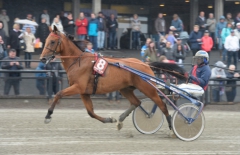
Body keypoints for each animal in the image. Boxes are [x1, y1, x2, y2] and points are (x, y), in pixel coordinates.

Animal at [39, 25, 187, 131]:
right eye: (46, 40)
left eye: (52, 41)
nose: (42, 58)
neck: (78, 61)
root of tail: (145, 63)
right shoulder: (84, 92)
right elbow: (90, 112)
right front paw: (109, 119)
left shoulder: (77, 87)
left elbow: (58, 94)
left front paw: (48, 115)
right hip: (125, 89)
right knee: (136, 102)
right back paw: (121, 120)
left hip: (148, 88)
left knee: (161, 104)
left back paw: (171, 126)